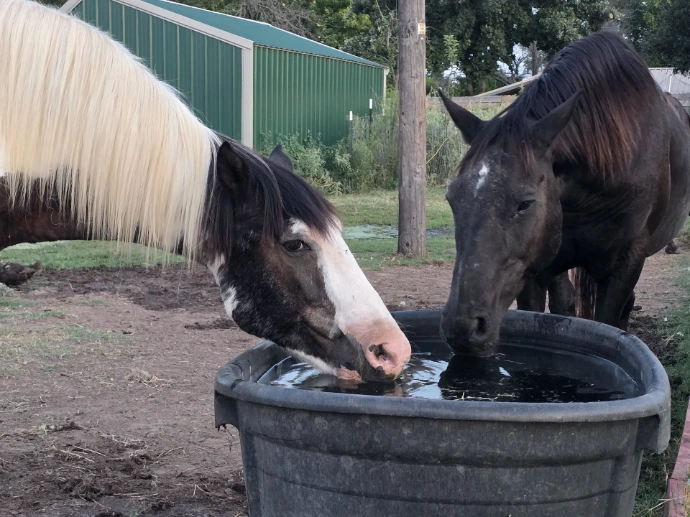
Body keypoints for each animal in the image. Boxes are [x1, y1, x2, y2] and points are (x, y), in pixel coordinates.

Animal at [437, 30, 690, 356]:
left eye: (525, 204)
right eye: (452, 199)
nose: (461, 327)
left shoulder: (626, 263)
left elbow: (610, 324)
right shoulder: (535, 268)